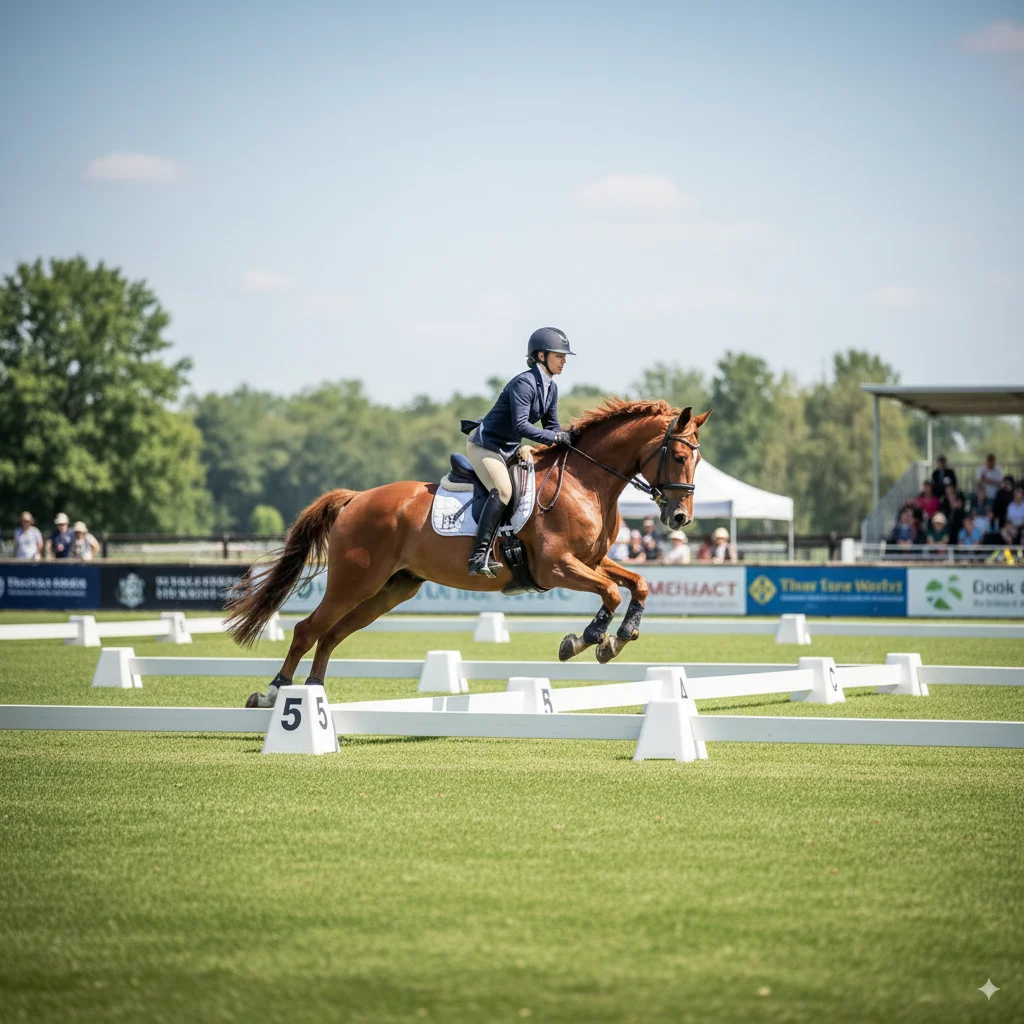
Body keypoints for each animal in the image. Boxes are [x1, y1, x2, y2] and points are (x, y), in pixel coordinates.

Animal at [226, 399, 710, 705]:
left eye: (698, 460)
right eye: (679, 456)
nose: (680, 518)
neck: (585, 482)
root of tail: (357, 498)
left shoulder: (590, 561)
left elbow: (637, 584)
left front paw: (622, 635)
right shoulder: (556, 567)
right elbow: (610, 592)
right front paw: (585, 640)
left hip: (390, 589)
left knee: (331, 635)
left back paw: (312, 690)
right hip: (353, 581)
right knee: (308, 629)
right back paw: (274, 693)